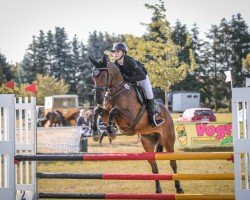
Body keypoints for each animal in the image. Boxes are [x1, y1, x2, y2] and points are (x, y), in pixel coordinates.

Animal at [90, 55, 184, 194]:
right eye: (93, 76)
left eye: (104, 75)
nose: (98, 99)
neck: (116, 91)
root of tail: (167, 112)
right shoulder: (105, 114)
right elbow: (98, 110)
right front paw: (97, 133)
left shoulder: (130, 116)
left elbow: (114, 110)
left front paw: (111, 131)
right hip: (147, 141)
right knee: (154, 166)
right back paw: (158, 190)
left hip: (168, 140)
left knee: (173, 163)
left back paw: (179, 188)